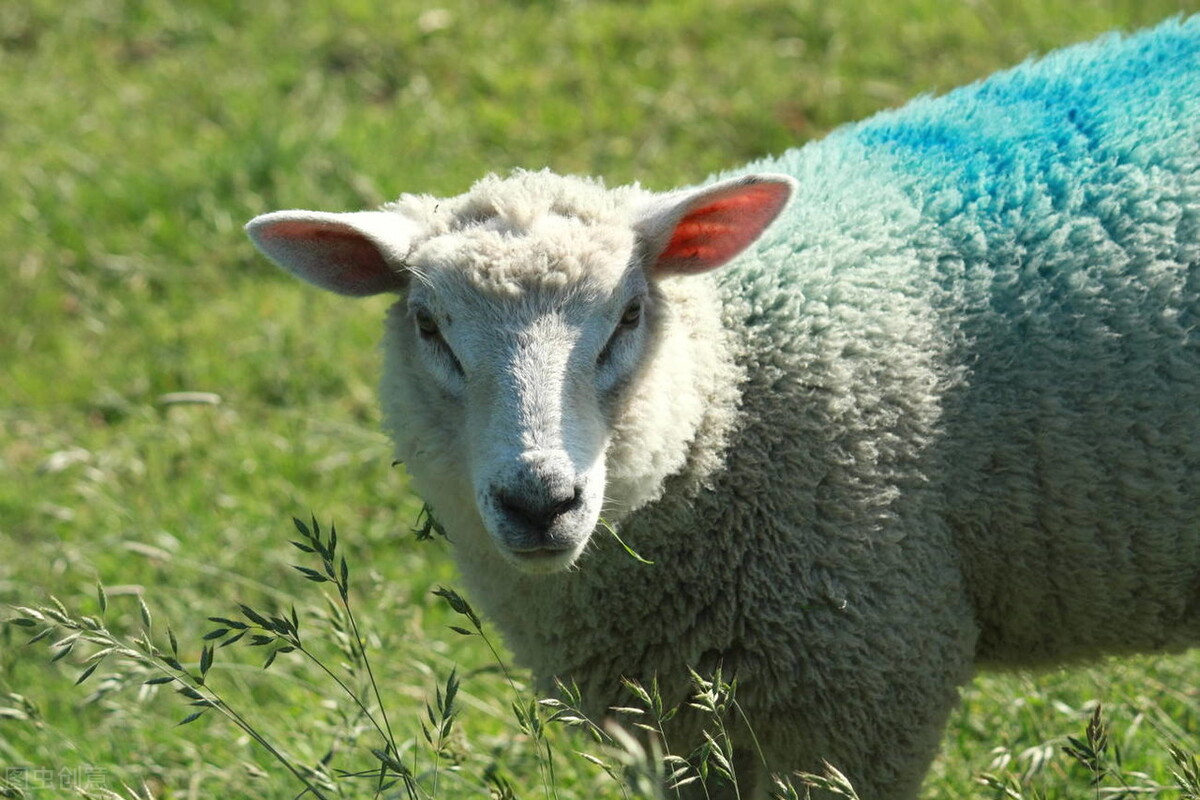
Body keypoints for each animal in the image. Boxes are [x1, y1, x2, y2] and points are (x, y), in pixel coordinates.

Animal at [243, 18, 1200, 800]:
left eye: (629, 315)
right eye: (428, 325)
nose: (539, 501)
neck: (738, 388)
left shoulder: (857, 686)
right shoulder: (677, 726)